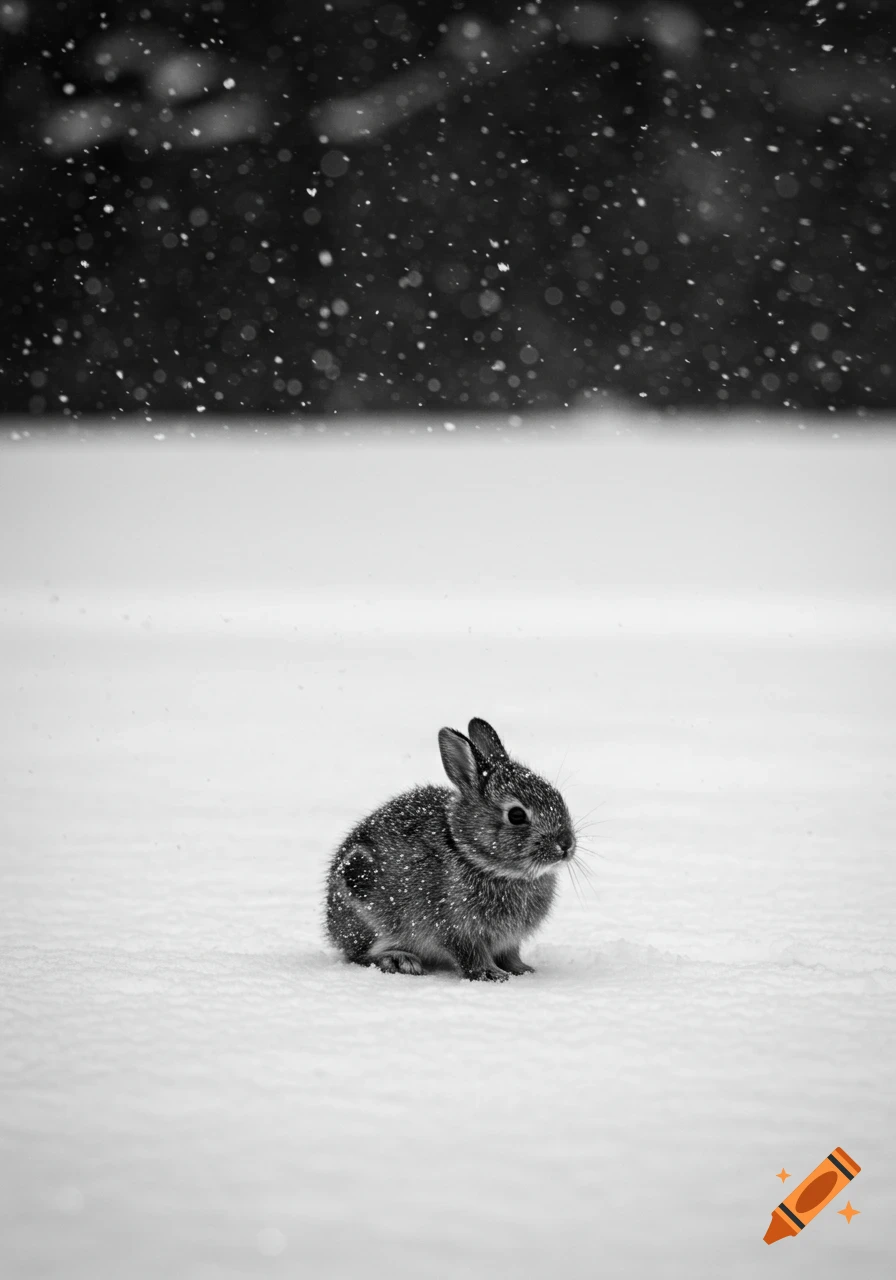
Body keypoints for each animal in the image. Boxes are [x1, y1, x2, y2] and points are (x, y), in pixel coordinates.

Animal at [325, 717, 576, 981]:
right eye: (516, 815)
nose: (566, 844)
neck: (471, 855)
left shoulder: (508, 940)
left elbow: (510, 955)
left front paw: (522, 970)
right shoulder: (456, 927)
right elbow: (470, 954)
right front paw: (490, 974)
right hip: (364, 900)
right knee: (360, 954)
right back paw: (399, 960)